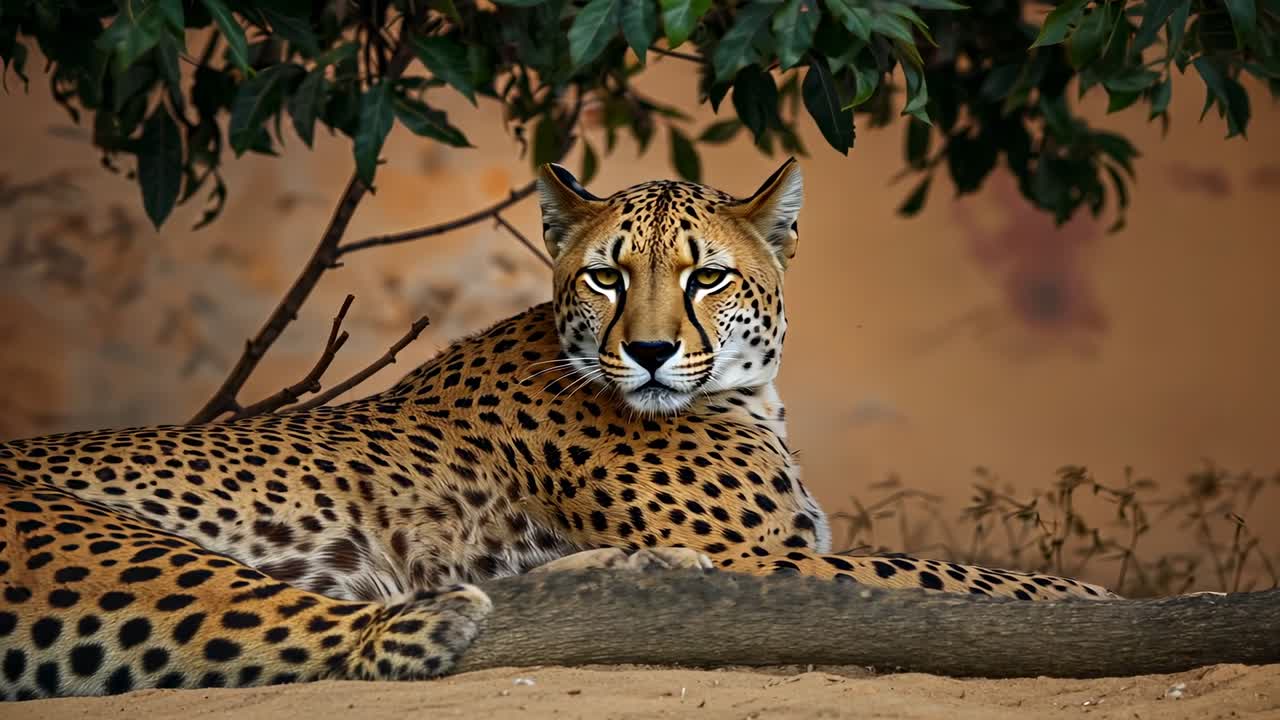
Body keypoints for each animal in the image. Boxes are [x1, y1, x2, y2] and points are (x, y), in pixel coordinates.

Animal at [0, 158, 1117, 701]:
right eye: (608, 275)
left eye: (706, 277)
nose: (654, 352)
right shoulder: (764, 557)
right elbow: (944, 570)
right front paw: (1091, 599)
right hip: (113, 549)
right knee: (358, 631)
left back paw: (624, 578)